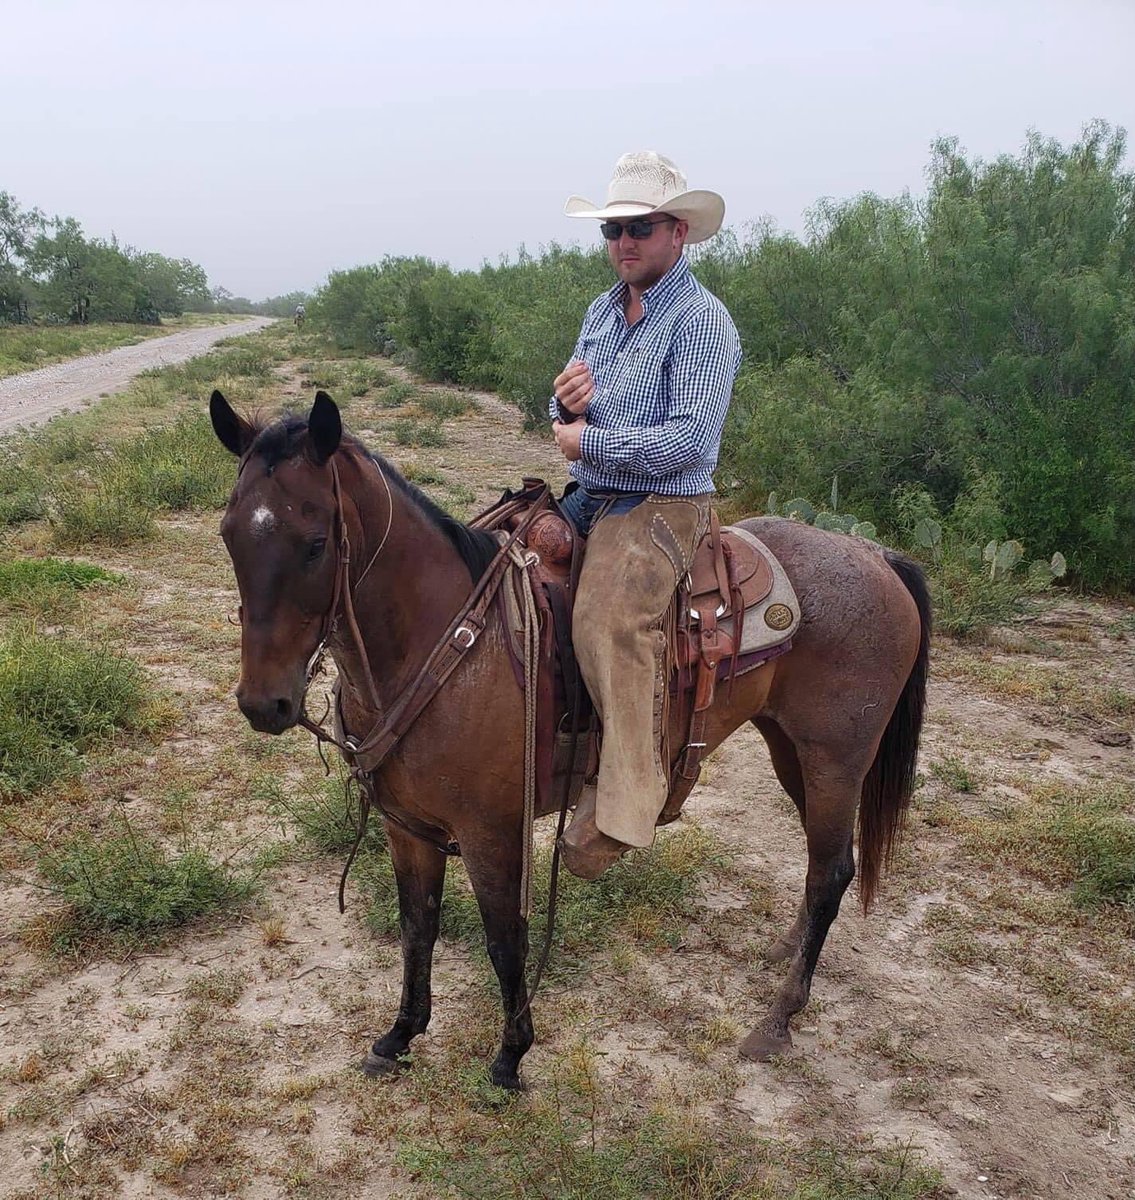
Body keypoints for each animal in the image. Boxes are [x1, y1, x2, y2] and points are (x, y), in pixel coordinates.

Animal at [210, 389, 930, 1091]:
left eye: (315, 542)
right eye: (228, 535)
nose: (263, 703)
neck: (443, 645)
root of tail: (878, 557)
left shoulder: (491, 831)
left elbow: (506, 940)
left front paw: (510, 1057)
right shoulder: (407, 826)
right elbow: (418, 926)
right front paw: (401, 1036)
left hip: (835, 759)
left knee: (831, 871)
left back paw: (778, 1018)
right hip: (790, 749)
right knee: (821, 867)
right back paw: (785, 951)